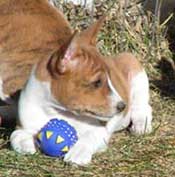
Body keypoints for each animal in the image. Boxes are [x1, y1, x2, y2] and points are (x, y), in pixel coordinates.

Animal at [0, 0, 152, 166]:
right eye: (97, 82)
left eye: (109, 79)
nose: (122, 106)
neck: (56, 111)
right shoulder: (24, 125)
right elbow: (15, 136)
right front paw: (27, 144)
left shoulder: (100, 130)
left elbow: (88, 138)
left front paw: (78, 153)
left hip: (135, 70)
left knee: (143, 107)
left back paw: (141, 124)